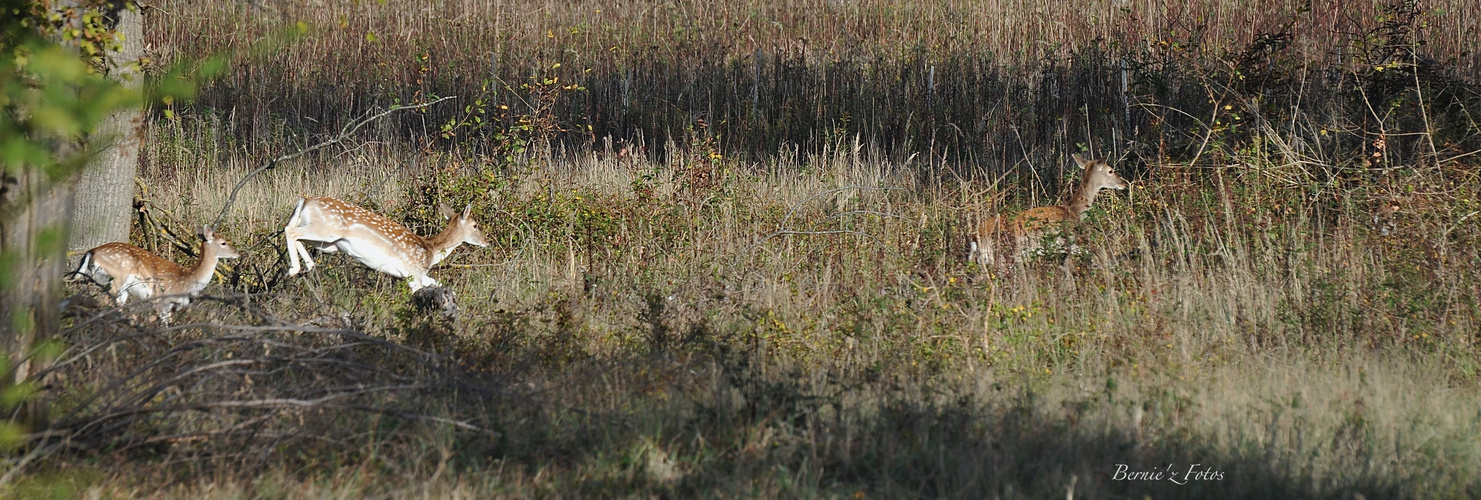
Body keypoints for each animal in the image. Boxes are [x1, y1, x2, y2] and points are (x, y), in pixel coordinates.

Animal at [70, 227, 239, 323]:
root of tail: (92, 252)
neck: (188, 281)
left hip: (111, 283)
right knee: (104, 300)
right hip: (118, 277)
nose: (238, 253)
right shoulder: (160, 299)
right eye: (223, 242)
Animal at [965, 155, 1125, 273]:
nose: (1123, 182)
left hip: (981, 260)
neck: (1074, 211)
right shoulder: (1069, 243)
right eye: (1110, 170)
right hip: (1004, 255)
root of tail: (974, 236)